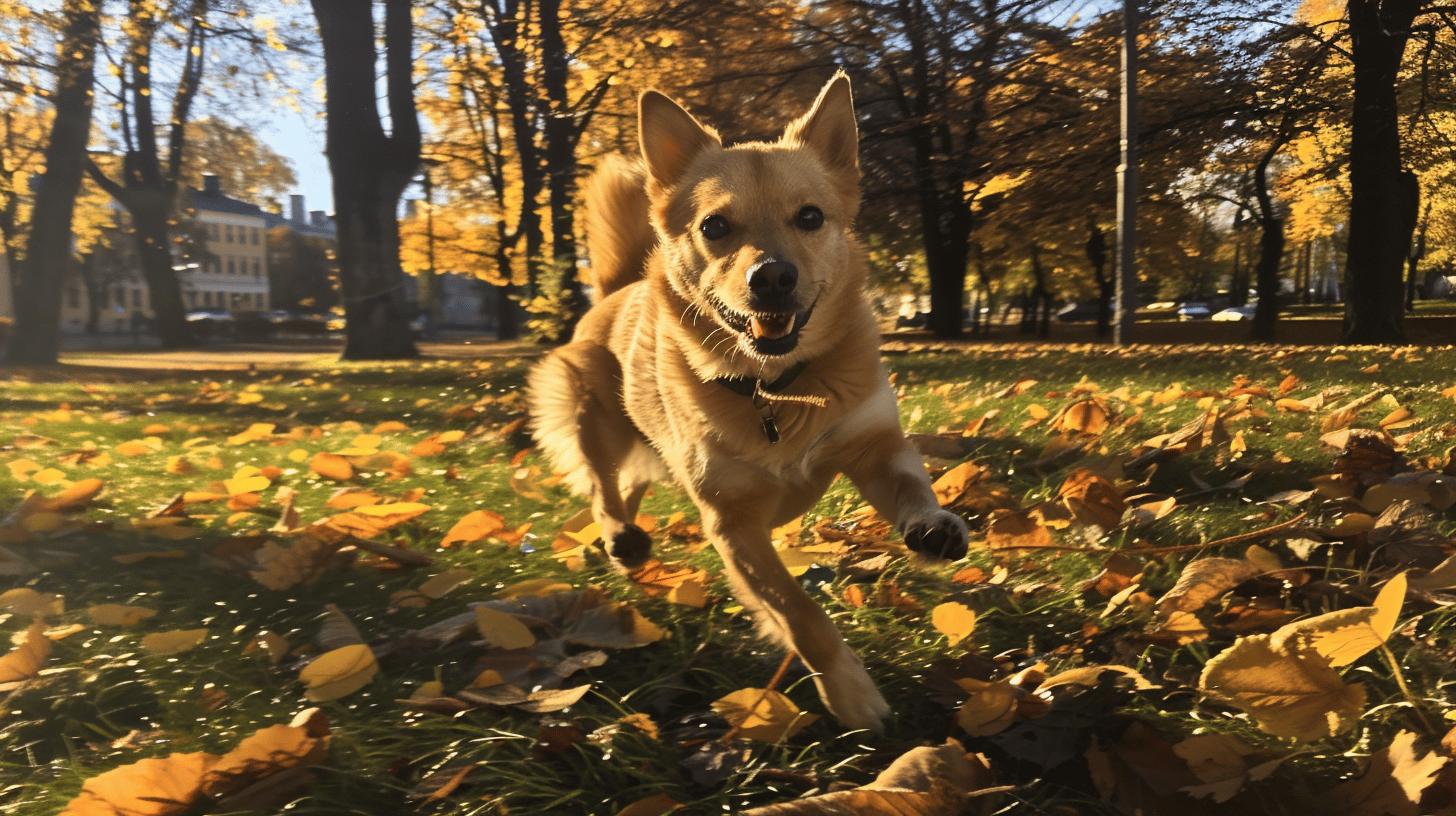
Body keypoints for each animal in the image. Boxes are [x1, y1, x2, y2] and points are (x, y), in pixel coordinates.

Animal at [527, 73, 966, 728]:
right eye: (714, 226)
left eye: (810, 217)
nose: (773, 277)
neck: (776, 387)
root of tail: (614, 291)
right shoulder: (733, 525)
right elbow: (800, 614)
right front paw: (851, 695)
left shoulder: (872, 444)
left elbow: (911, 483)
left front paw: (932, 525)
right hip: (593, 412)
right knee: (604, 482)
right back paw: (620, 538)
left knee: (631, 481)